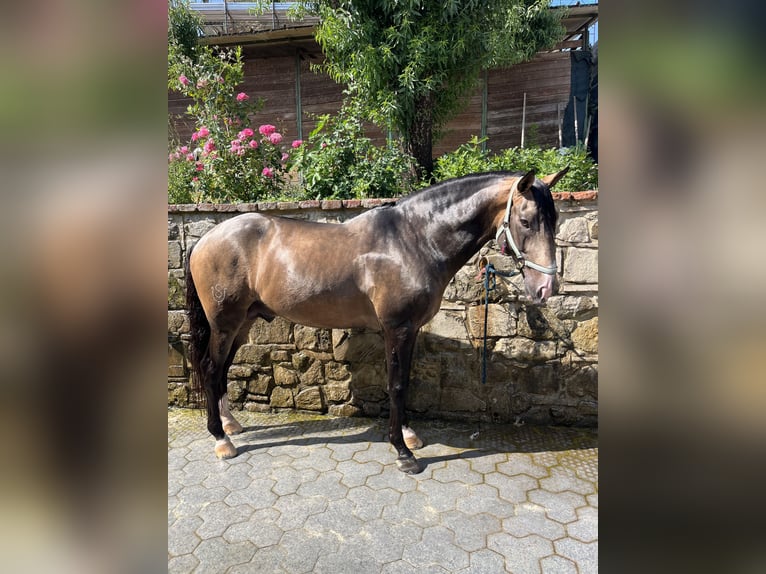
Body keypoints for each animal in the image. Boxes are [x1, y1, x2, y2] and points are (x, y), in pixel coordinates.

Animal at [185, 168, 567, 474]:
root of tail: (205, 238)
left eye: (555, 220)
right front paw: (403, 453)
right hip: (225, 323)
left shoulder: (410, 330)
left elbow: (406, 382)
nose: (546, 288)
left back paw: (231, 425)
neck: (413, 240)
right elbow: (396, 385)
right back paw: (221, 439)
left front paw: (410, 436)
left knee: (222, 370)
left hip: (244, 322)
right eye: (526, 221)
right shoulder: (397, 328)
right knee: (210, 368)